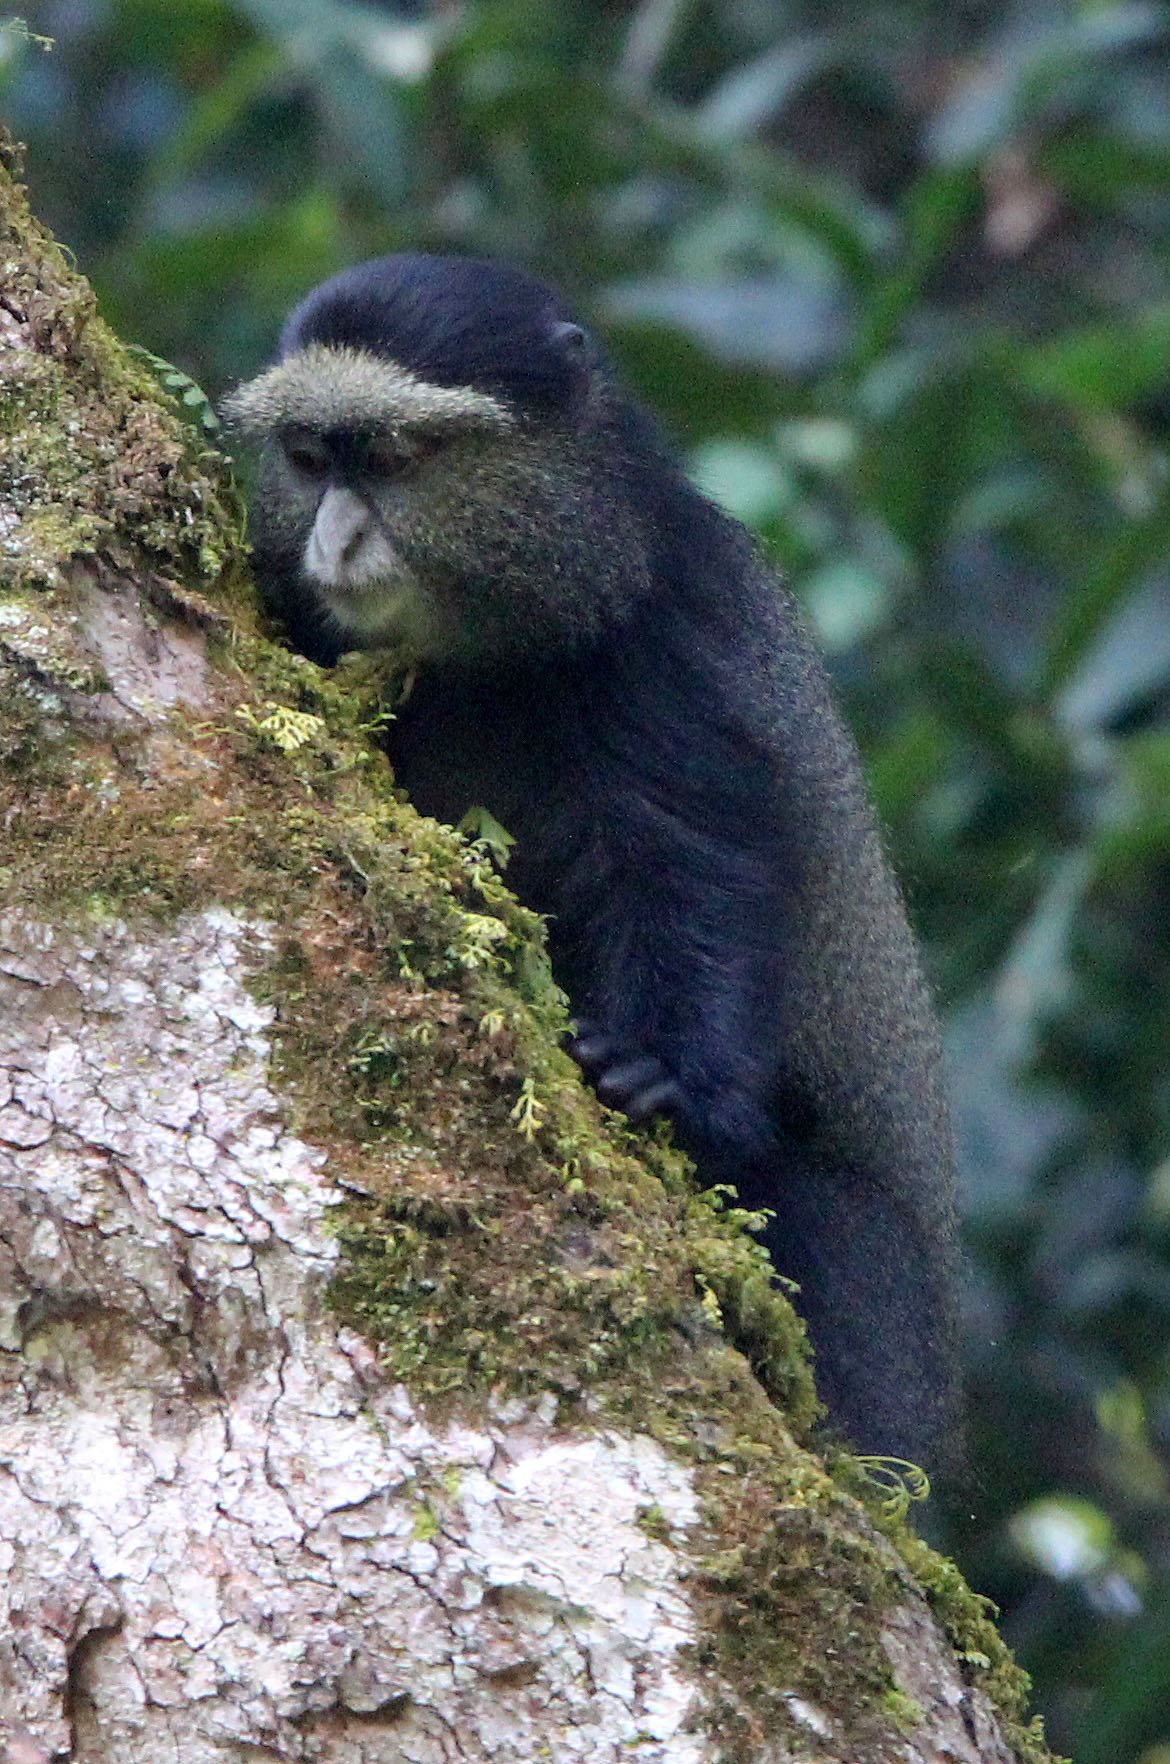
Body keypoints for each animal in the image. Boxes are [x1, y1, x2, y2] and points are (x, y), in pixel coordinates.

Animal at [225, 253, 959, 1467]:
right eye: (311, 459)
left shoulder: (673, 630)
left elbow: (688, 861)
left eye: (394, 458)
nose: (334, 544)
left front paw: (665, 1073)